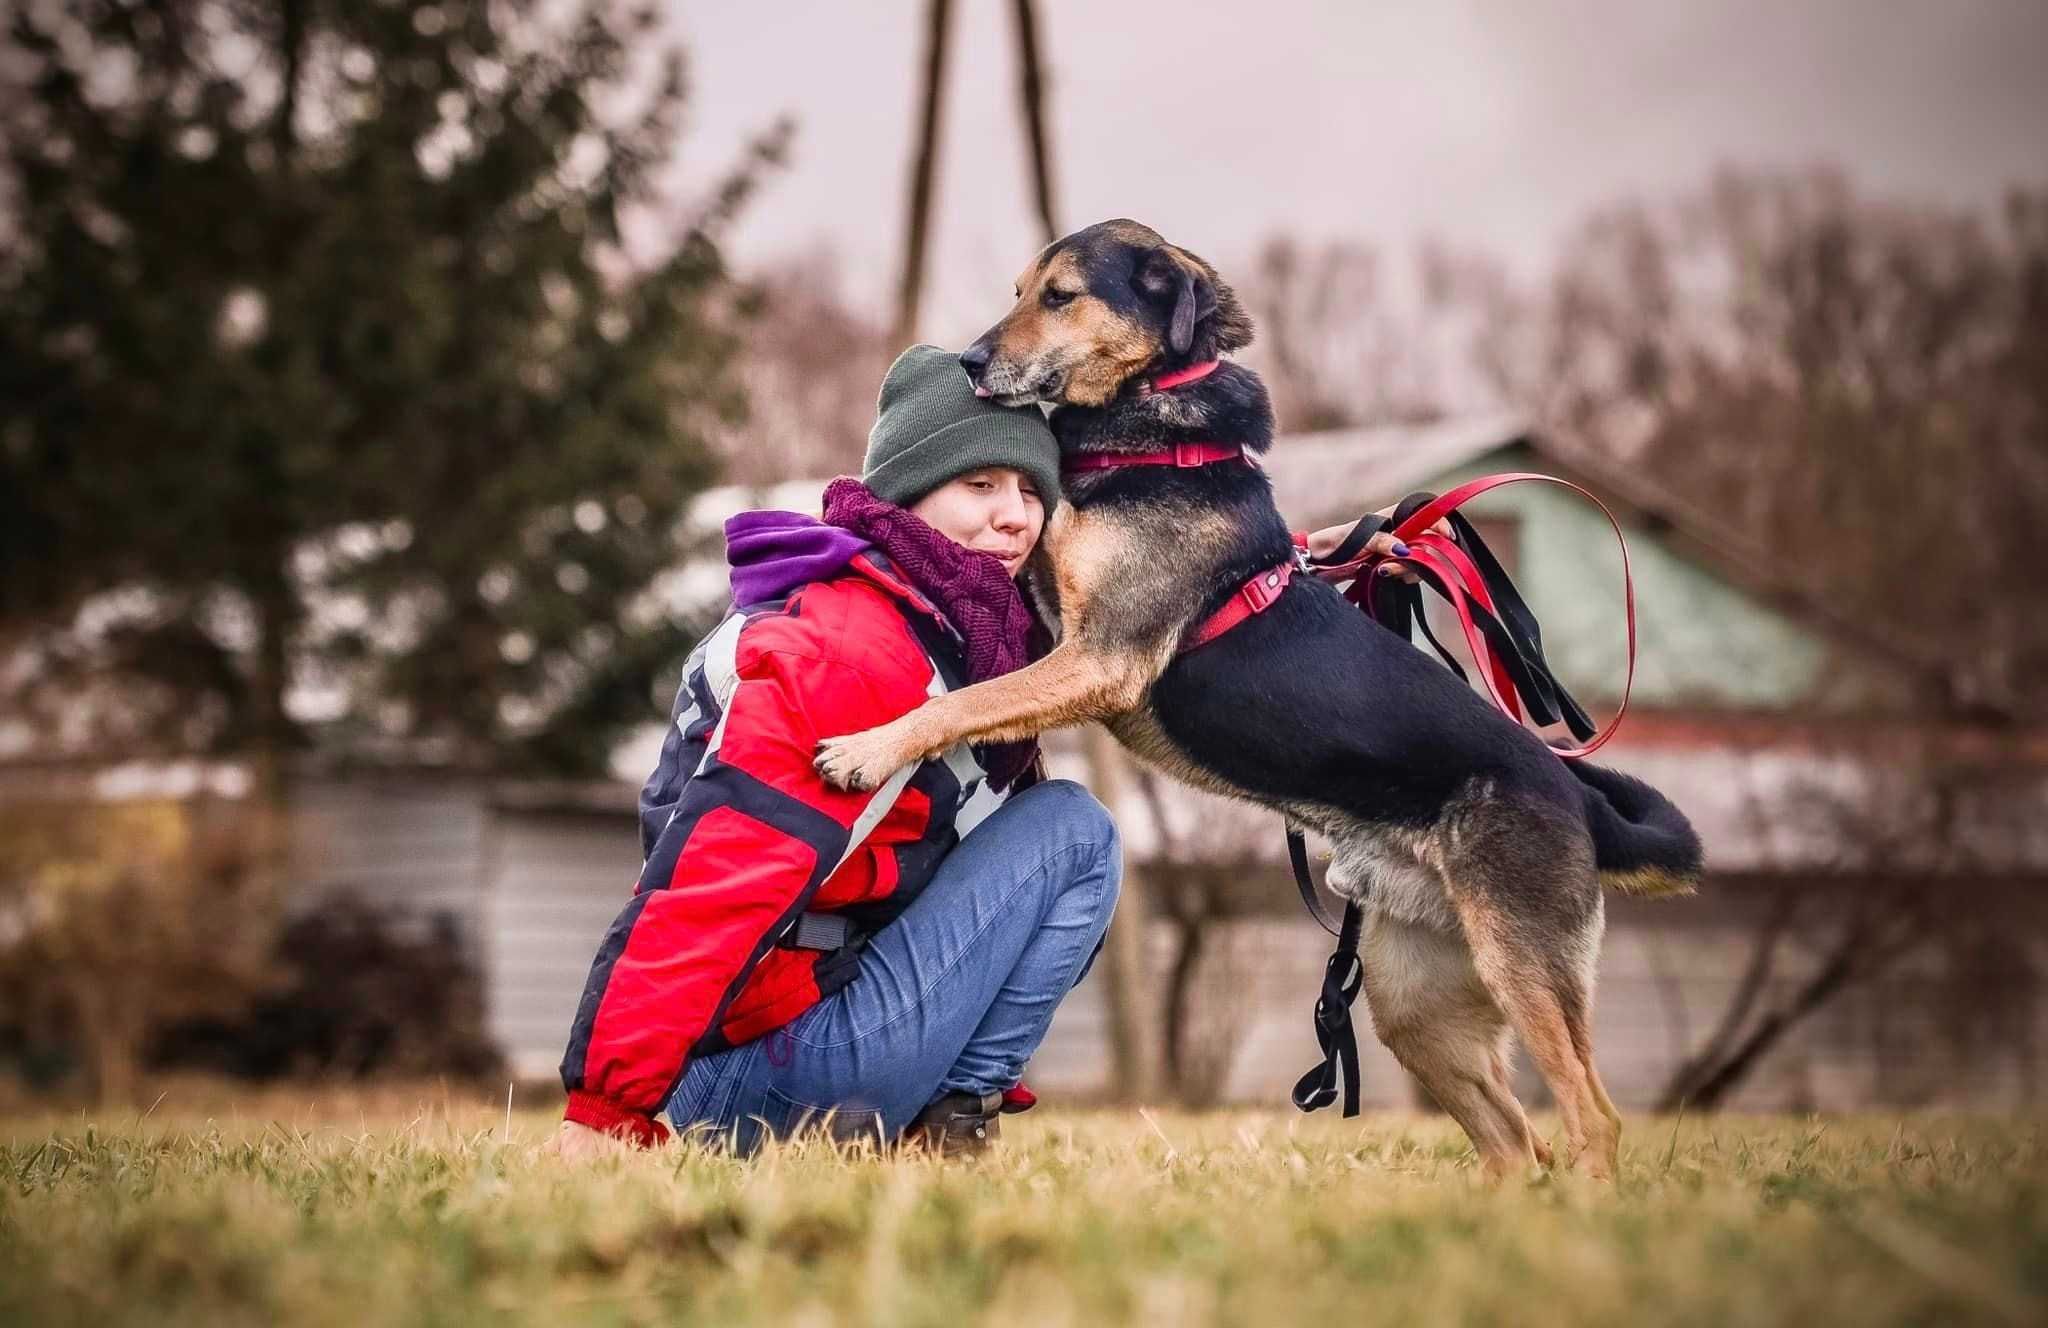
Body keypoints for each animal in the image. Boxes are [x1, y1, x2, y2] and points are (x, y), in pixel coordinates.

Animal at [806, 220, 1703, 1180]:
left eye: (1060, 295)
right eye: (1018, 290)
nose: (971, 361)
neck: (1150, 430)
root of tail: (1574, 795)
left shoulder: (1099, 654)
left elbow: (965, 701)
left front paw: (867, 748)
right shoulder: (1055, 623)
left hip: (1523, 968)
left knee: (1591, 1119)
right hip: (1417, 1005)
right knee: (1514, 1141)